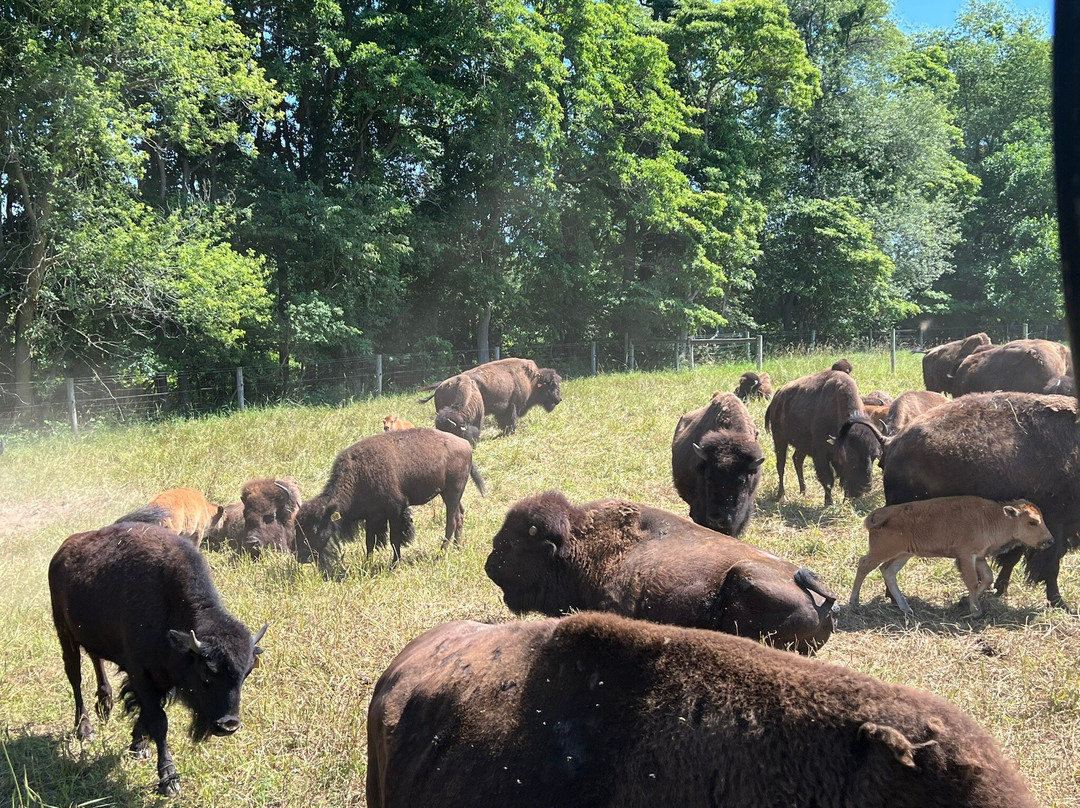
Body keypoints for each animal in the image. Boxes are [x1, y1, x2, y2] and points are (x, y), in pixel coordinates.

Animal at [49, 522, 266, 796]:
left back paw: (105, 705)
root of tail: (61, 552)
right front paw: (168, 779)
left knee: (96, 660)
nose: (229, 725)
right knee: (75, 678)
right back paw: (85, 730)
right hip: (65, 633)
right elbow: (158, 721)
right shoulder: (141, 675)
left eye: (246, 674)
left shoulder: (161, 680)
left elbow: (146, 715)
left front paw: (138, 746)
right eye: (206, 675)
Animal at [295, 428, 485, 567]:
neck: (359, 472)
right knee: (459, 515)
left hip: (452, 492)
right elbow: (369, 541)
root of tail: (465, 444)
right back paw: (457, 548)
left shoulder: (395, 509)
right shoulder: (371, 515)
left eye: (315, 529)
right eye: (297, 527)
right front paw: (367, 565)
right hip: (451, 494)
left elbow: (395, 538)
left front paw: (394, 564)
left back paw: (440, 556)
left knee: (450, 522)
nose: (302, 557)